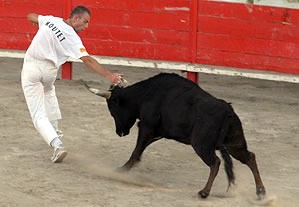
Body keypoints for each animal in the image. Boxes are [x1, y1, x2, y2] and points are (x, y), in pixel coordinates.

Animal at [82, 72, 268, 199]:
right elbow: (141, 148)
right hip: (234, 144)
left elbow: (136, 149)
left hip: (201, 145)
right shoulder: (157, 132)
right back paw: (260, 192)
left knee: (215, 162)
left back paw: (204, 192)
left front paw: (123, 169)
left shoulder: (146, 127)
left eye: (112, 109)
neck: (146, 94)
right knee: (250, 157)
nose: (120, 133)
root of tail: (227, 109)